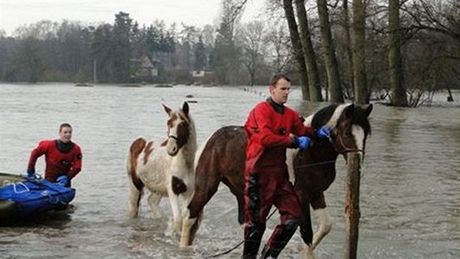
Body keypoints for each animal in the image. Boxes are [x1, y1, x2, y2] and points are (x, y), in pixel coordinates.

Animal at [126, 102, 197, 240]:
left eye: (183, 124)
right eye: (168, 123)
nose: (171, 149)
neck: (184, 164)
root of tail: (138, 141)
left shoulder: (188, 192)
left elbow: (185, 218)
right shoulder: (172, 190)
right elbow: (178, 218)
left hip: (157, 187)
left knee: (151, 202)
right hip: (135, 184)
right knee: (133, 208)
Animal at [181, 102, 372, 258]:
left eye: (366, 135)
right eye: (347, 132)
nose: (359, 166)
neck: (310, 153)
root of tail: (212, 139)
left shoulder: (316, 192)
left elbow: (326, 226)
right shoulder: (301, 194)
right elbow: (306, 231)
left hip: (242, 190)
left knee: (246, 222)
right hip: (207, 186)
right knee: (190, 215)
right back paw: (184, 249)